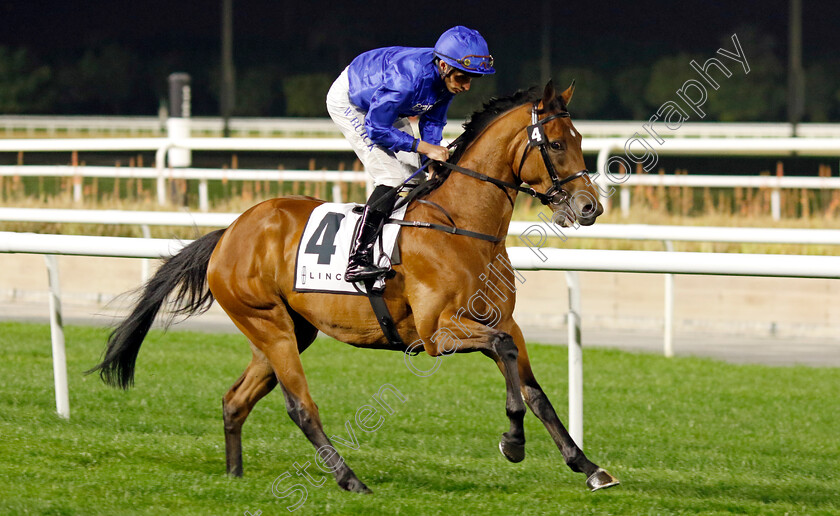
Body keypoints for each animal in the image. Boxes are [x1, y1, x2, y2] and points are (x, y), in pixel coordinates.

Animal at [90, 79, 616, 492]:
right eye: (554, 144)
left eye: (579, 138)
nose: (590, 206)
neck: (462, 225)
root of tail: (229, 232)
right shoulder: (437, 334)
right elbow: (504, 353)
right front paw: (513, 442)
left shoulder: (503, 320)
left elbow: (533, 388)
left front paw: (587, 466)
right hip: (269, 324)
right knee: (301, 407)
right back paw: (350, 479)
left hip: (288, 330)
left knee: (235, 401)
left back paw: (234, 477)